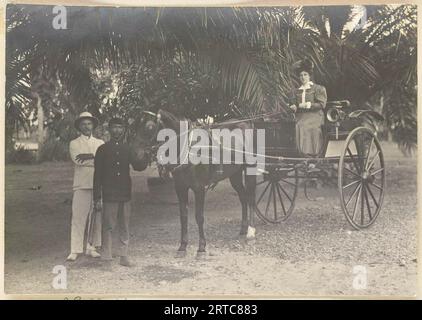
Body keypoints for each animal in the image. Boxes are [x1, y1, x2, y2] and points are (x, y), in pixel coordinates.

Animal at [130, 109, 258, 258]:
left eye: (149, 127)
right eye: (135, 125)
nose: (135, 156)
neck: (187, 148)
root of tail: (246, 123)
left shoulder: (199, 188)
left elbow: (199, 217)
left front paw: (201, 247)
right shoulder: (180, 188)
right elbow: (183, 216)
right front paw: (182, 246)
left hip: (250, 170)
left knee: (251, 198)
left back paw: (251, 231)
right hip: (234, 174)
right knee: (243, 197)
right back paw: (243, 228)